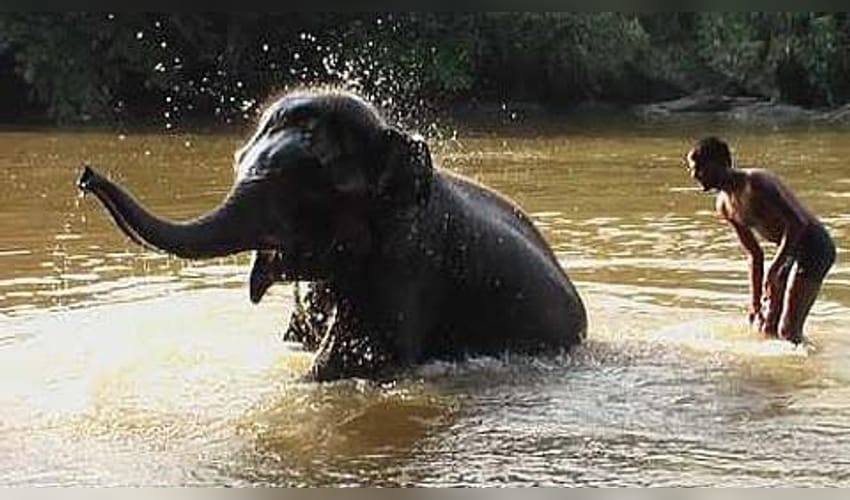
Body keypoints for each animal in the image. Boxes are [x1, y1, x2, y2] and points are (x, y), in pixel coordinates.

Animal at [77, 89, 587, 381]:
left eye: (310, 186)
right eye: (238, 160)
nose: (86, 175)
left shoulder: (405, 261)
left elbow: (353, 363)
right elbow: (296, 341)